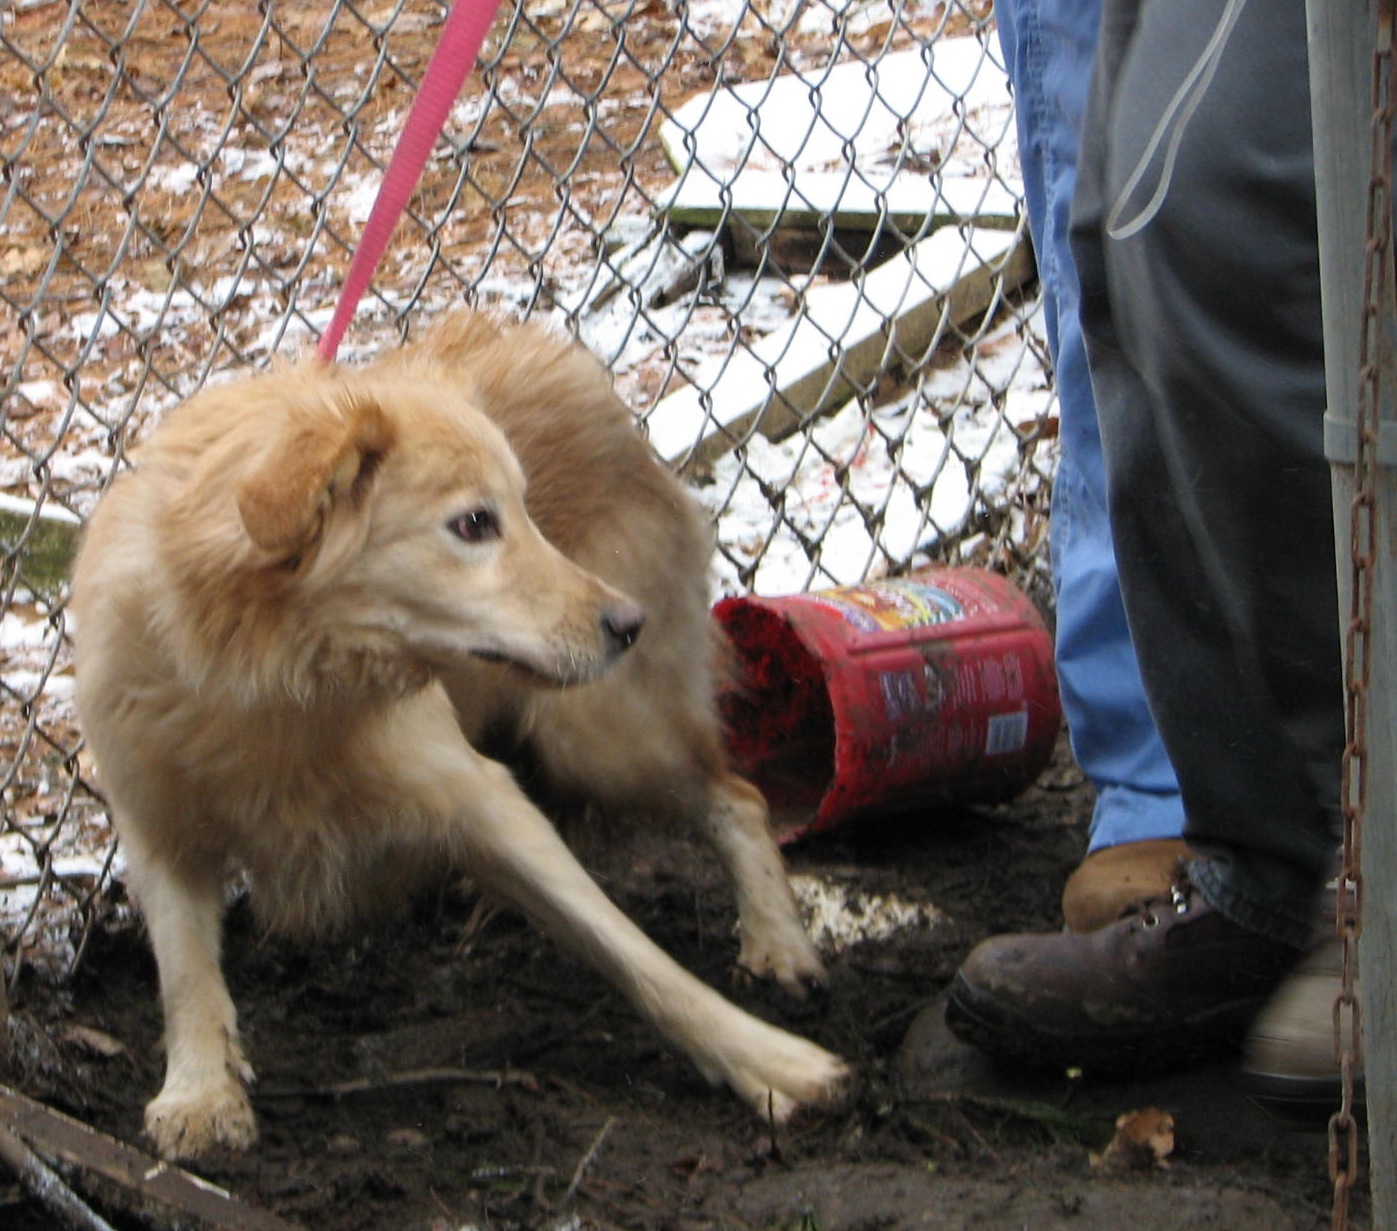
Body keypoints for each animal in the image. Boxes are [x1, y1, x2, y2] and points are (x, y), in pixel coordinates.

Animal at [70, 310, 843, 1162]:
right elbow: (184, 972)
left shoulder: (478, 793)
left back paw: (778, 943)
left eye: (523, 514)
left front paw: (769, 1060)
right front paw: (201, 1091)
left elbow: (634, 953)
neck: (275, 680)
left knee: (736, 796)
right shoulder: (157, 823)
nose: (627, 623)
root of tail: (568, 362)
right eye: (474, 523)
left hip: (599, 731)